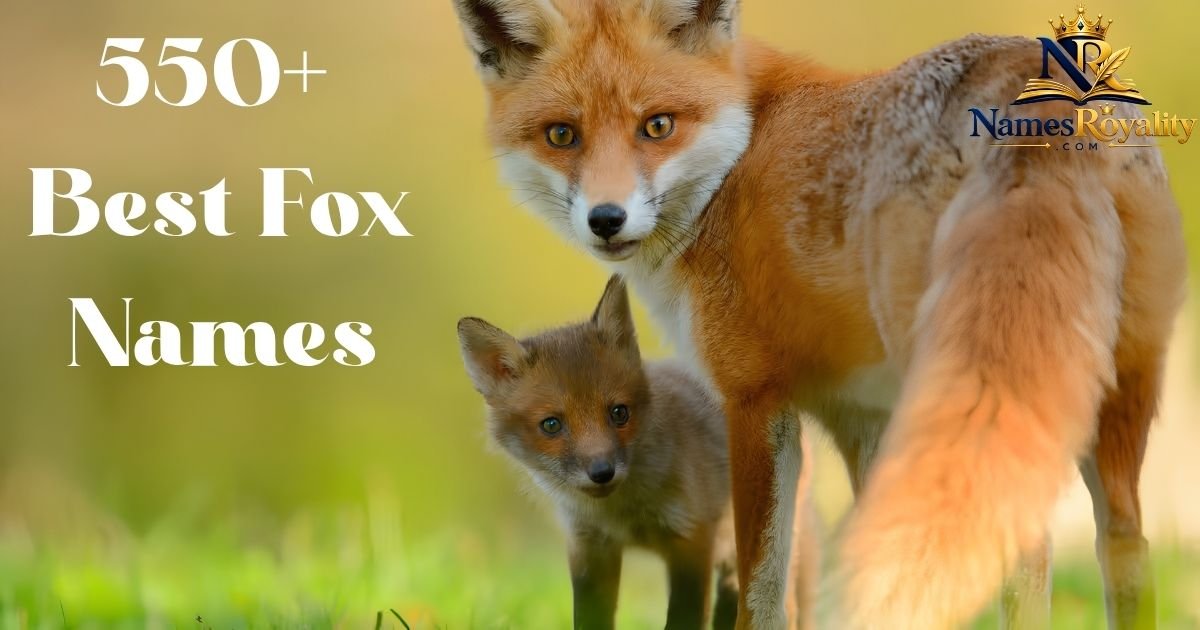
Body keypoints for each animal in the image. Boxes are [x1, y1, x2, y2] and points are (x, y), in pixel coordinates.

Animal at [457, 276, 820, 629]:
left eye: (619, 413)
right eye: (551, 425)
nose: (602, 472)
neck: (625, 515)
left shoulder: (692, 538)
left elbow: (682, 621)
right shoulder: (589, 546)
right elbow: (589, 620)